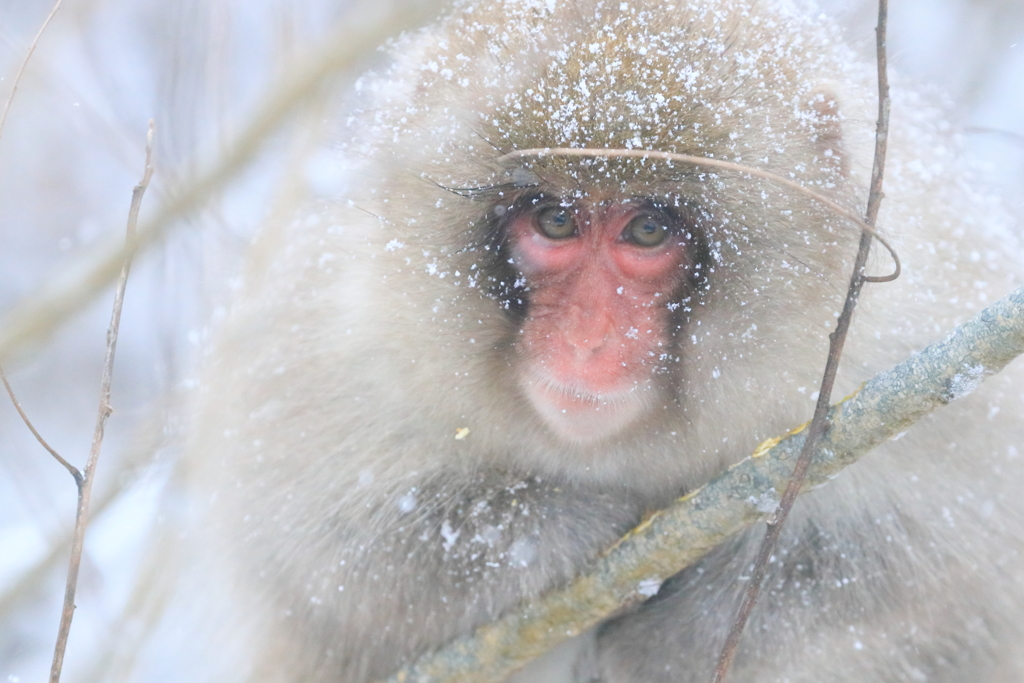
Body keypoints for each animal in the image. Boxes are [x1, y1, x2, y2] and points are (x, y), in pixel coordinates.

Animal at [136, 1, 1024, 683]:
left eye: (649, 229)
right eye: (556, 220)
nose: (588, 338)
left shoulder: (914, 330)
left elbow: (940, 560)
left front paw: (687, 628)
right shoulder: (341, 326)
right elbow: (312, 540)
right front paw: (562, 525)